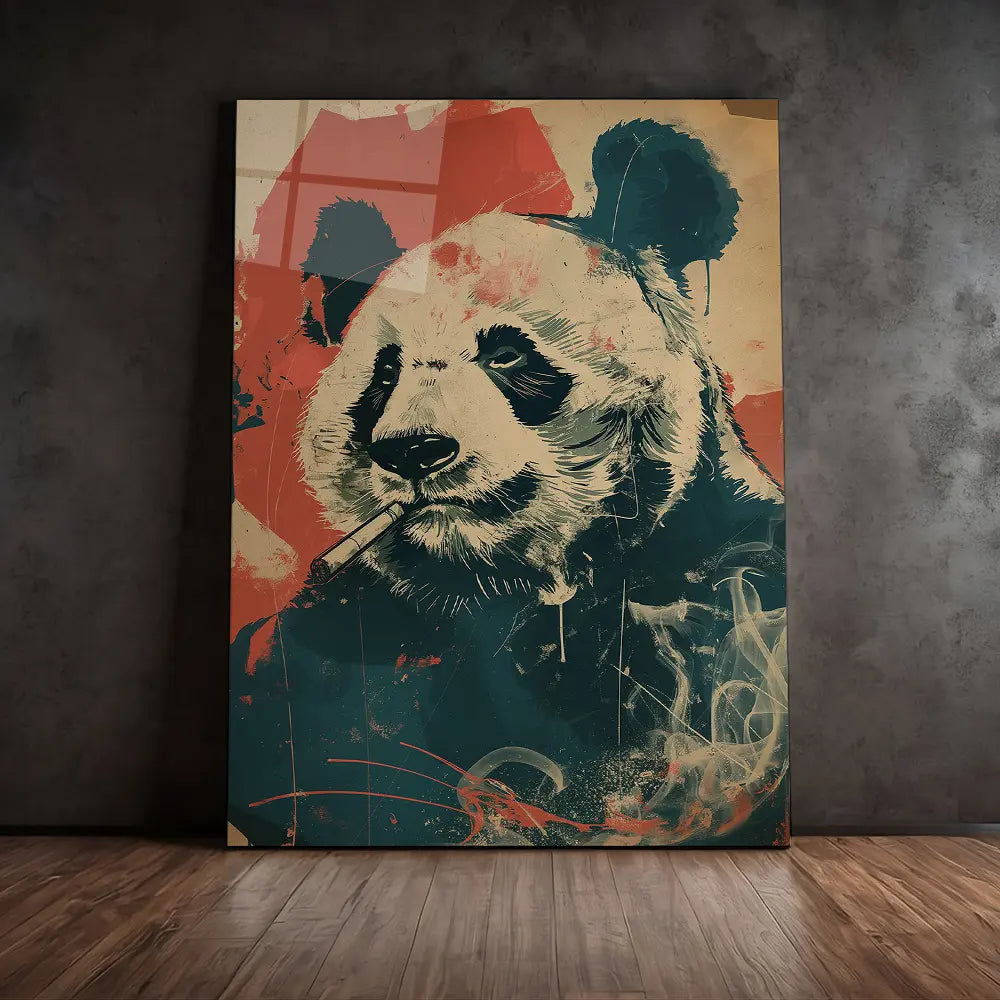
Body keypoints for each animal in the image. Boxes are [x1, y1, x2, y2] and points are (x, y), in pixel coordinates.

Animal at [229, 120, 788, 848]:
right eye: (386, 374)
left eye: (505, 354)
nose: (414, 451)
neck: (503, 583)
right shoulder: (359, 625)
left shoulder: (711, 565)